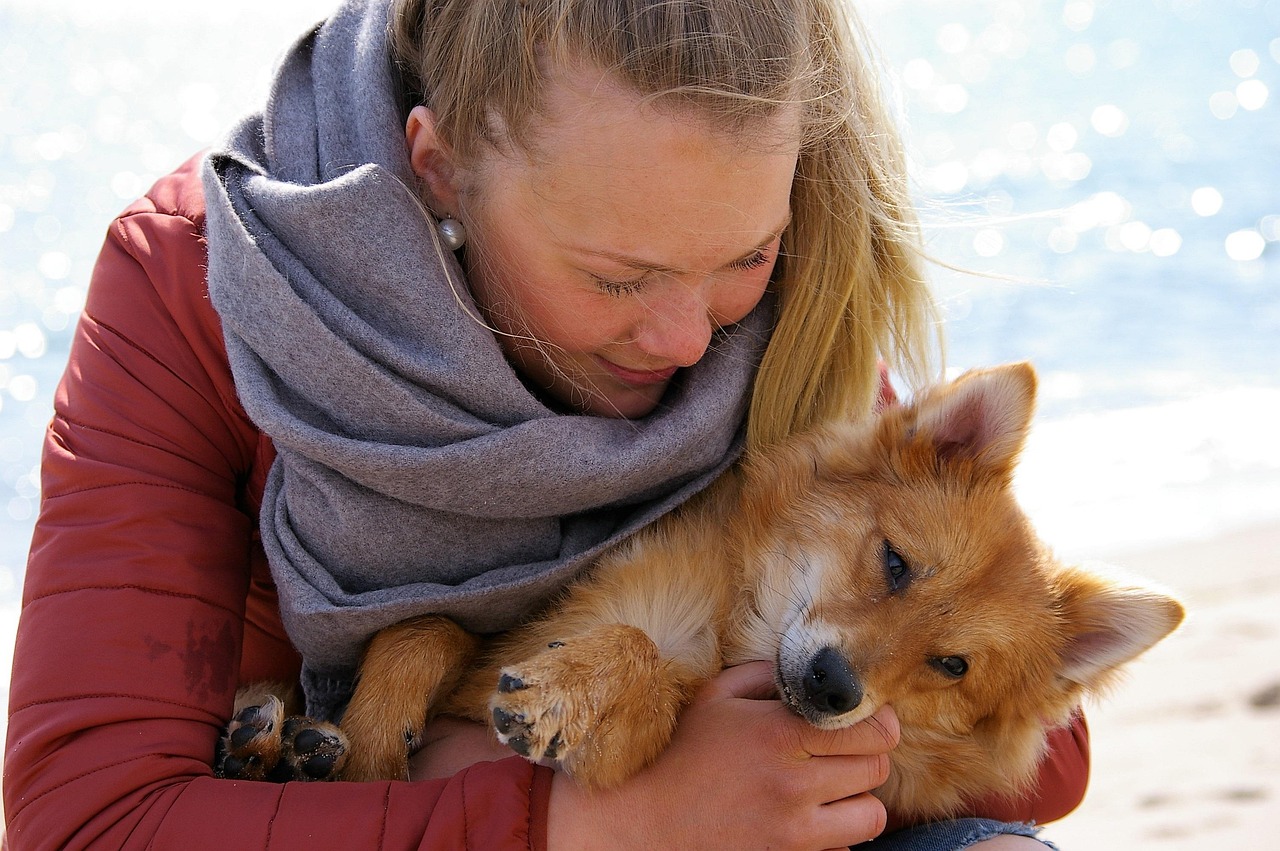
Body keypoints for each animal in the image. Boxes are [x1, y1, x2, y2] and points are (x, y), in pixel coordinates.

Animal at [217, 360, 1177, 819]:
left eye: (952, 666)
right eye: (896, 563)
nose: (835, 686)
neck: (724, 632)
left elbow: (632, 679)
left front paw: (577, 692)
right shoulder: (489, 645)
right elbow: (426, 631)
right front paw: (373, 738)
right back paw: (267, 740)